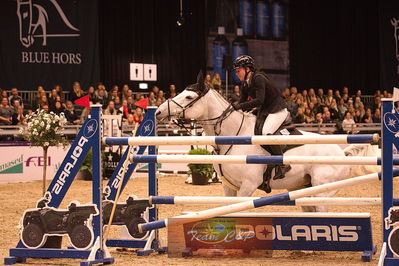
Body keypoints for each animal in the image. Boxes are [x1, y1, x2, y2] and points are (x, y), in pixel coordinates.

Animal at [157, 71, 376, 211]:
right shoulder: (229, 187)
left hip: (322, 190)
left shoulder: (248, 186)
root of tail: (341, 152)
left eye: (188, 97)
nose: (158, 111)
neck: (233, 135)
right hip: (302, 189)